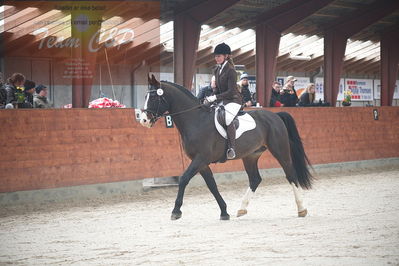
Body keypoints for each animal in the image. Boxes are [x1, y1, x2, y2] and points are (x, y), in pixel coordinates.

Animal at [139, 75, 314, 220]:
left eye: (153, 96)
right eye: (145, 96)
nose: (144, 120)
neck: (196, 121)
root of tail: (275, 115)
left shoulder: (200, 159)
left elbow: (183, 179)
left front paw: (176, 211)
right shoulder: (202, 163)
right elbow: (212, 185)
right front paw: (224, 212)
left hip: (280, 151)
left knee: (291, 175)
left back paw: (301, 209)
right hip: (250, 156)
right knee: (255, 179)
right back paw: (242, 209)